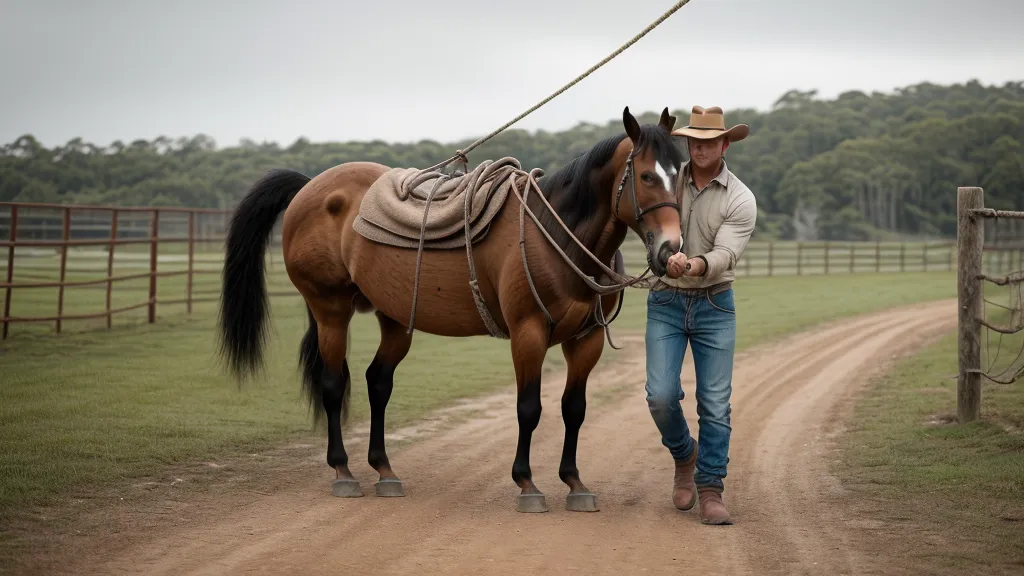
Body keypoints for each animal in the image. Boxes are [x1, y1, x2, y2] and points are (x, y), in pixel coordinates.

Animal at [217, 106, 685, 513]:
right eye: (646, 175)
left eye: (680, 174)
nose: (671, 250)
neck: (553, 234)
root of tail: (310, 186)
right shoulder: (528, 333)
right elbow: (529, 408)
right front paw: (527, 483)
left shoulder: (586, 340)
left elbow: (574, 410)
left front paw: (574, 482)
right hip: (330, 310)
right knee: (333, 385)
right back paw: (344, 471)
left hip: (394, 319)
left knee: (377, 382)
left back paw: (384, 470)